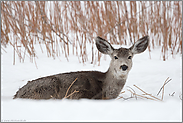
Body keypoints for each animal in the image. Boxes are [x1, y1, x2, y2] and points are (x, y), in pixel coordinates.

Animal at [13, 35, 149, 99]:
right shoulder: (78, 94)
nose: (124, 66)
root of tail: (17, 95)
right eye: (115, 57)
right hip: (47, 87)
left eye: (130, 56)